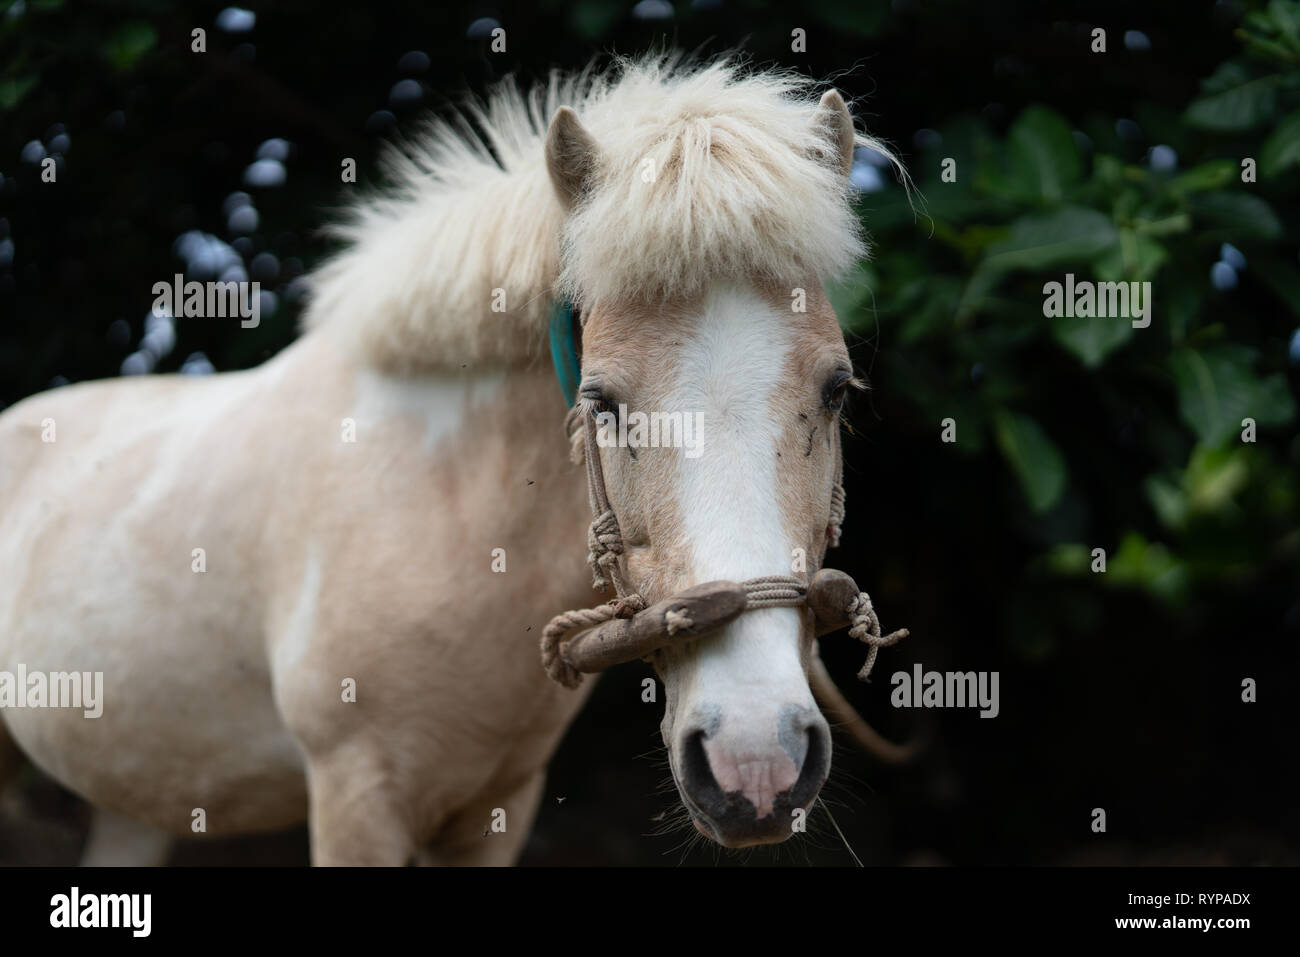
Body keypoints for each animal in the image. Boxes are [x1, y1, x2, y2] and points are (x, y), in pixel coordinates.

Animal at [0, 52, 909, 863]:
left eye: (837, 390)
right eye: (602, 402)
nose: (755, 762)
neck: (444, 509)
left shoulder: (497, 806)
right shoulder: (356, 797)